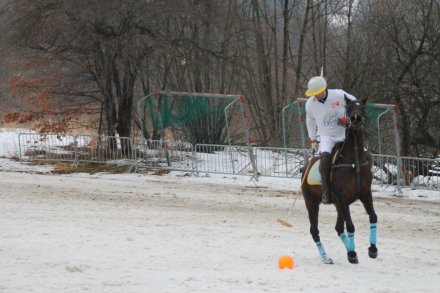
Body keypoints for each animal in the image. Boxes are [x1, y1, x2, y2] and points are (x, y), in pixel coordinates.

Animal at [302, 96, 378, 264]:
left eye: (362, 108)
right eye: (348, 108)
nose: (356, 119)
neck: (354, 160)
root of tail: (307, 164)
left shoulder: (365, 194)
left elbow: (373, 217)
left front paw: (372, 249)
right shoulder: (344, 199)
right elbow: (350, 226)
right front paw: (352, 254)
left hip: (337, 204)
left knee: (338, 228)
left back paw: (350, 250)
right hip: (311, 202)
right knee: (314, 230)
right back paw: (326, 257)